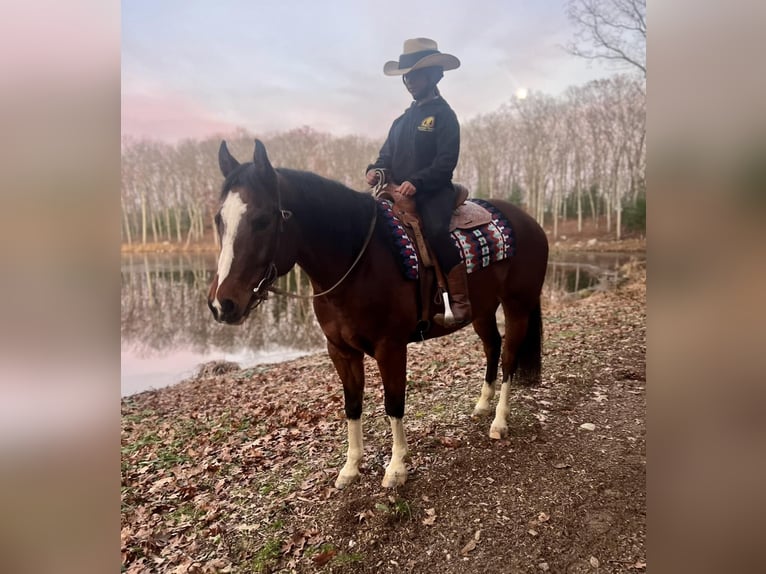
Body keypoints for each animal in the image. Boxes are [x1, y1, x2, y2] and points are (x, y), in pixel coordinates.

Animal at [207, 140, 548, 490]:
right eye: (219, 219)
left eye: (262, 220)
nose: (222, 304)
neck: (359, 261)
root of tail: (530, 222)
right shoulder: (341, 352)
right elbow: (352, 405)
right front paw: (351, 467)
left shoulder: (391, 348)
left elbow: (393, 403)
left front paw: (396, 467)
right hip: (482, 310)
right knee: (492, 347)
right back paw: (482, 406)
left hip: (517, 305)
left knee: (509, 357)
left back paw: (500, 421)